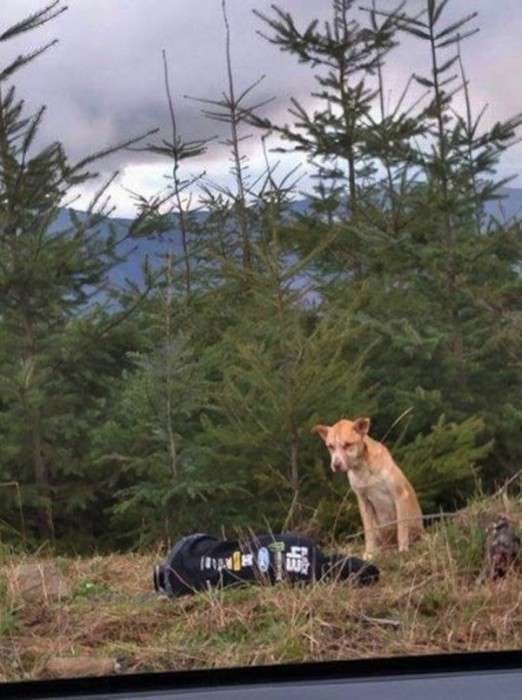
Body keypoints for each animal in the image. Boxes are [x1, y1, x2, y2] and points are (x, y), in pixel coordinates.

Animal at [310, 416, 420, 556]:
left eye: (347, 445)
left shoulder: (400, 495)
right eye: (330, 446)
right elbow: (369, 531)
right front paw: (369, 553)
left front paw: (403, 549)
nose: (336, 465)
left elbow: (401, 527)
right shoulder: (364, 503)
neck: (363, 468)